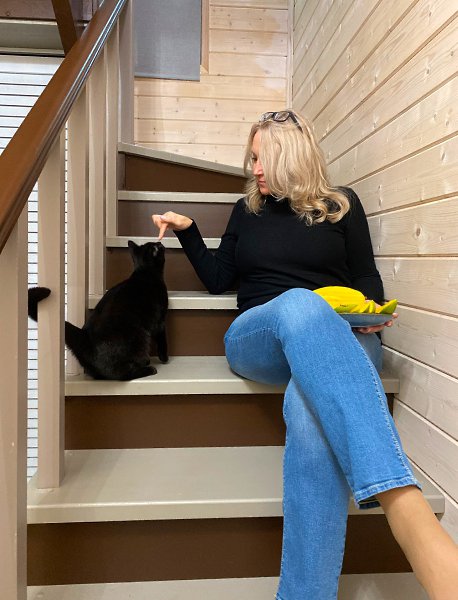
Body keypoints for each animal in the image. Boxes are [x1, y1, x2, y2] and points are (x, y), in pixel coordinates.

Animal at [28, 240, 168, 380]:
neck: (145, 272)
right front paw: (165, 358)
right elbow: (162, 339)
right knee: (123, 374)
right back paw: (148, 369)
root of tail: (84, 338)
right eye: (156, 246)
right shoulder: (160, 321)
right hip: (140, 336)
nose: (160, 242)